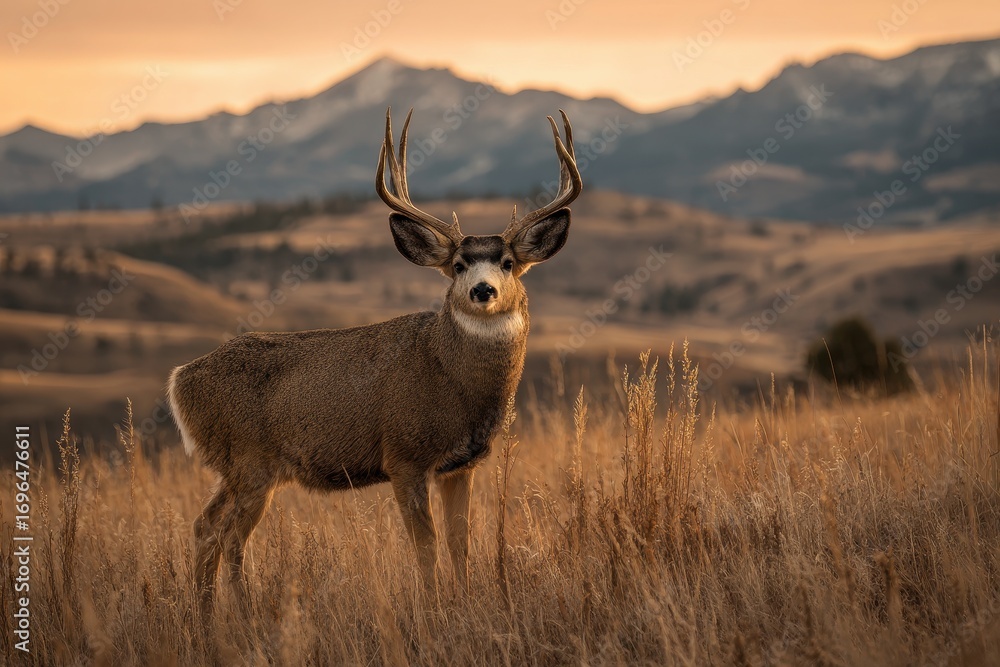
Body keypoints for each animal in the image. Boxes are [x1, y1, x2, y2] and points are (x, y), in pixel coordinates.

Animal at [167, 107, 583, 618]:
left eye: (506, 262)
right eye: (459, 265)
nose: (482, 290)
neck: (451, 379)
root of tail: (180, 379)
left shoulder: (460, 465)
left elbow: (460, 543)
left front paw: (465, 604)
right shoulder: (403, 454)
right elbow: (425, 546)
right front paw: (432, 611)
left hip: (234, 468)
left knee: (204, 527)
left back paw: (206, 618)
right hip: (250, 460)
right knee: (228, 536)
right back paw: (243, 616)